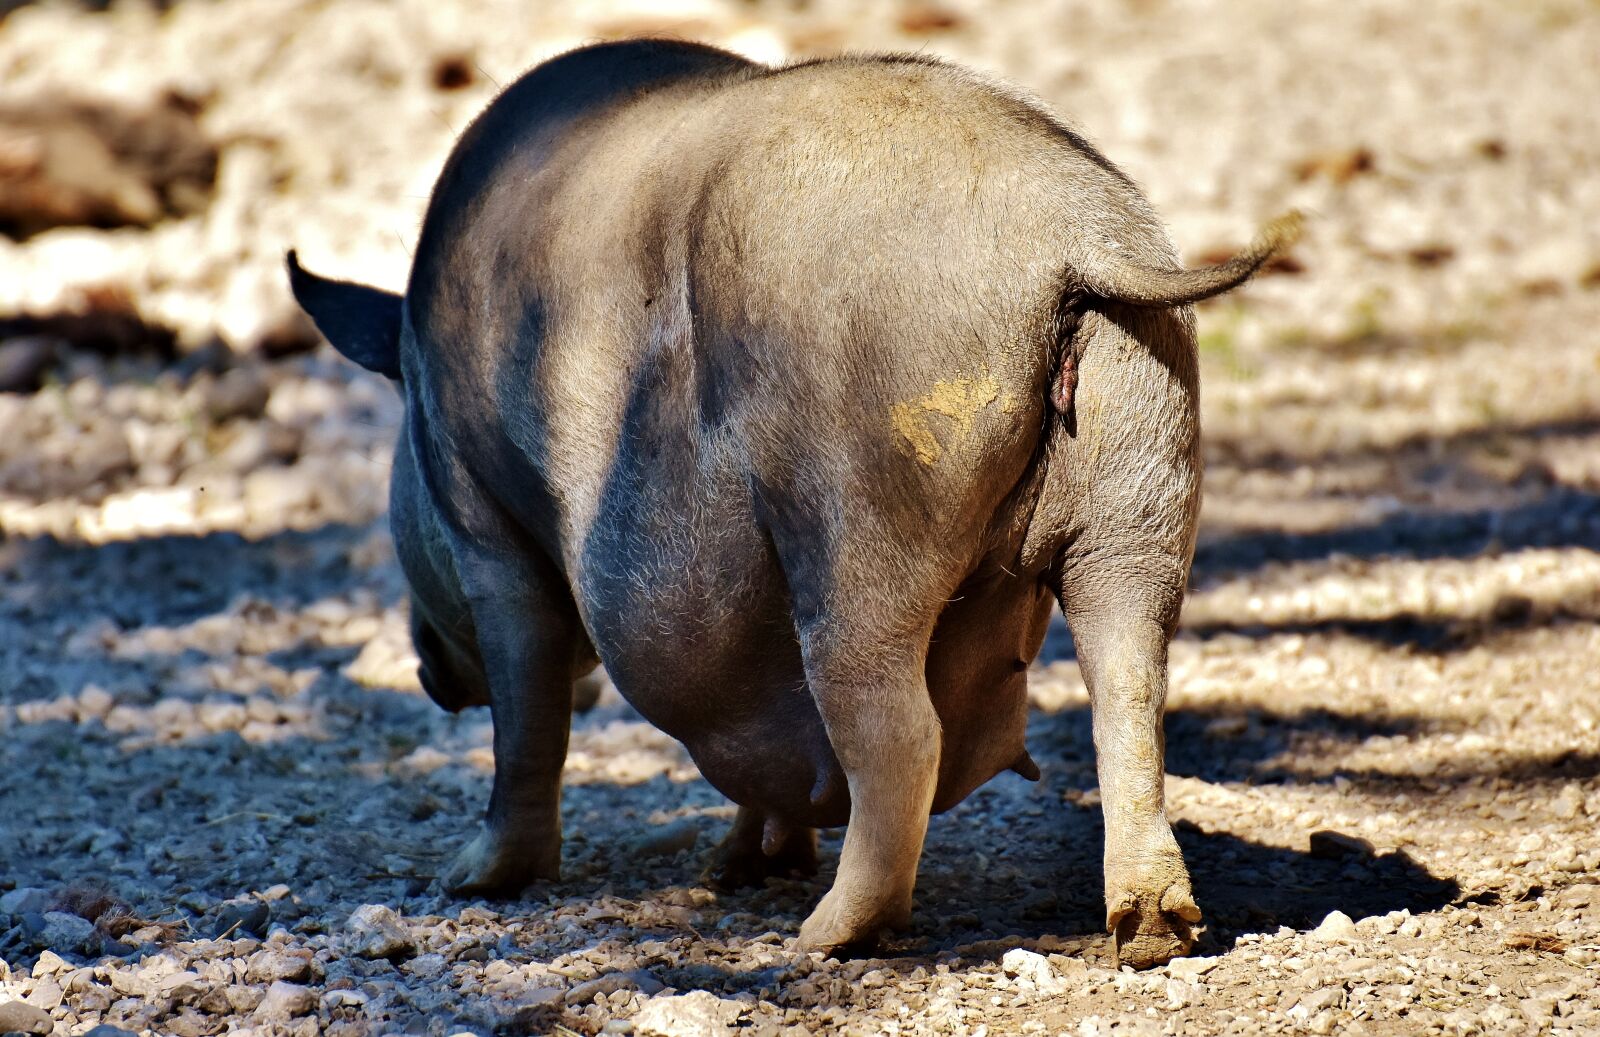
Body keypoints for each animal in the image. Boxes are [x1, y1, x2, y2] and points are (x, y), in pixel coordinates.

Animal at [287, 38, 1298, 968]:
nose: (430, 671)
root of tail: (1075, 241)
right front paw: (737, 866)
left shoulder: (486, 529)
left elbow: (527, 712)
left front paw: (471, 879)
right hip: (1141, 474)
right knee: (1129, 677)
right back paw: (1152, 930)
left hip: (861, 516)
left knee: (897, 728)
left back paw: (824, 937)